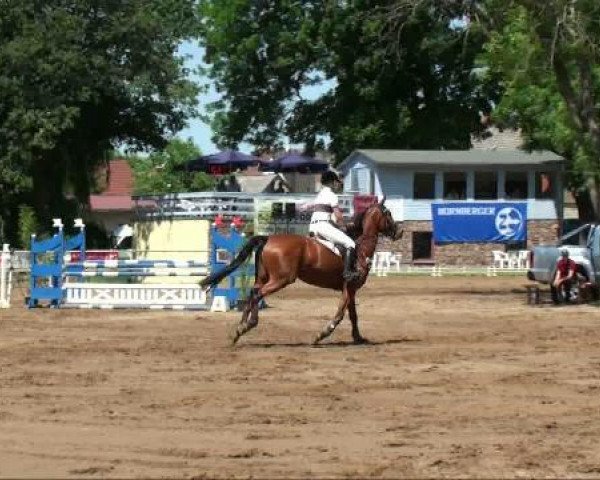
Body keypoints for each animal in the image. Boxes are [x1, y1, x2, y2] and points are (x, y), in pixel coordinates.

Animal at [202, 196, 404, 344]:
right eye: (388, 214)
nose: (399, 232)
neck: (360, 248)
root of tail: (268, 238)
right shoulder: (350, 286)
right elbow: (340, 314)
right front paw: (323, 334)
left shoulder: (350, 288)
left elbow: (353, 314)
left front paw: (358, 338)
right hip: (282, 279)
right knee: (258, 294)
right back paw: (249, 324)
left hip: (264, 277)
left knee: (252, 293)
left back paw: (240, 329)